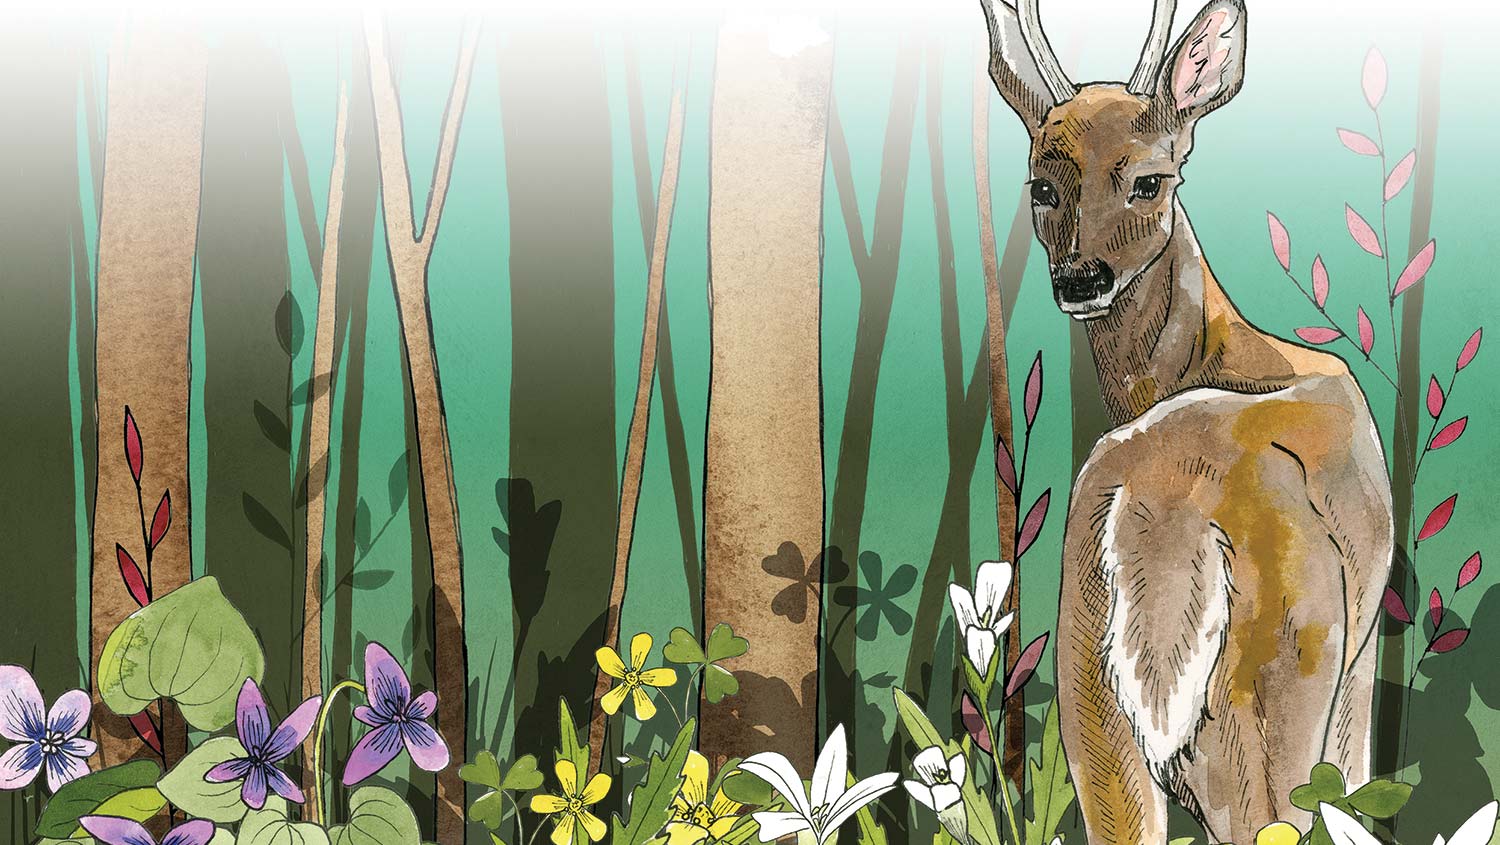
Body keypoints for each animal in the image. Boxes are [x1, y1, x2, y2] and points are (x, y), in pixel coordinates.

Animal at [976, 1, 1395, 842]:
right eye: (1042, 184)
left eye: (1148, 180)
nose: (1081, 278)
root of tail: (1163, 512)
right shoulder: (1361, 652)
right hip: (1274, 678)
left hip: (1088, 683)